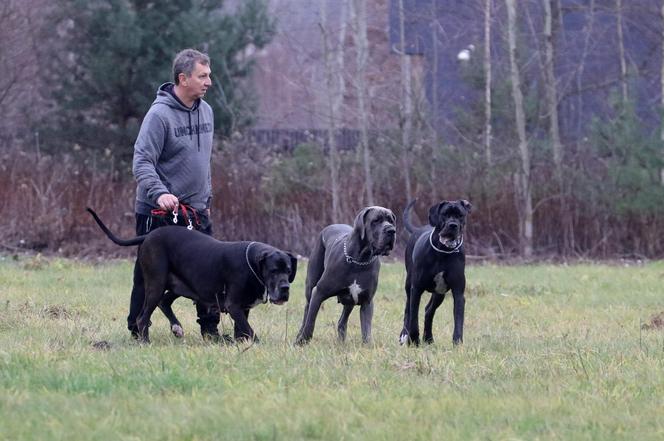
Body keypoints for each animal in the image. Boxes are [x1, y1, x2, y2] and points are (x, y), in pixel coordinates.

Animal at [87, 208, 296, 342]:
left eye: (288, 270)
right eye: (273, 271)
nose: (285, 288)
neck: (252, 264)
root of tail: (149, 235)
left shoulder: (243, 308)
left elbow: (242, 331)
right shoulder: (234, 305)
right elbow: (249, 330)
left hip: (181, 285)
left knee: (164, 302)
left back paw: (176, 327)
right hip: (156, 282)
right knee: (142, 317)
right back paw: (145, 342)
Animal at [294, 206, 396, 344]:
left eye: (391, 221)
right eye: (376, 220)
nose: (392, 230)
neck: (360, 260)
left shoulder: (366, 302)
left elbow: (366, 329)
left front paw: (368, 345)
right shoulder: (319, 292)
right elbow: (311, 321)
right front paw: (302, 342)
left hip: (349, 300)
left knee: (342, 321)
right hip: (310, 288)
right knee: (306, 311)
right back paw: (299, 336)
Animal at [400, 198, 472, 346]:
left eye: (460, 215)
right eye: (445, 214)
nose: (453, 225)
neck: (443, 252)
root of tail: (418, 229)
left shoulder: (458, 292)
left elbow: (458, 319)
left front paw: (457, 343)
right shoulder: (416, 289)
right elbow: (413, 317)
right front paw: (414, 340)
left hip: (439, 293)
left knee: (429, 311)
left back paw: (428, 338)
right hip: (409, 285)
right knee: (408, 310)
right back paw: (405, 335)